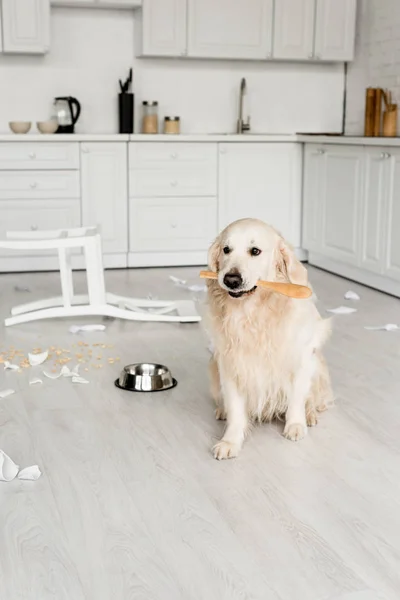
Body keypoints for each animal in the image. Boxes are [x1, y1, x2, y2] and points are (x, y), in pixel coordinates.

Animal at [205, 219, 332, 460]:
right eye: (226, 249)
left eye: (255, 251)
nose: (231, 279)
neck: (253, 313)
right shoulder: (231, 365)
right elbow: (236, 409)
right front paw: (230, 441)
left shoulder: (300, 360)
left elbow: (297, 397)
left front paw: (295, 425)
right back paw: (221, 411)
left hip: (317, 365)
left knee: (314, 398)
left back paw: (310, 415)